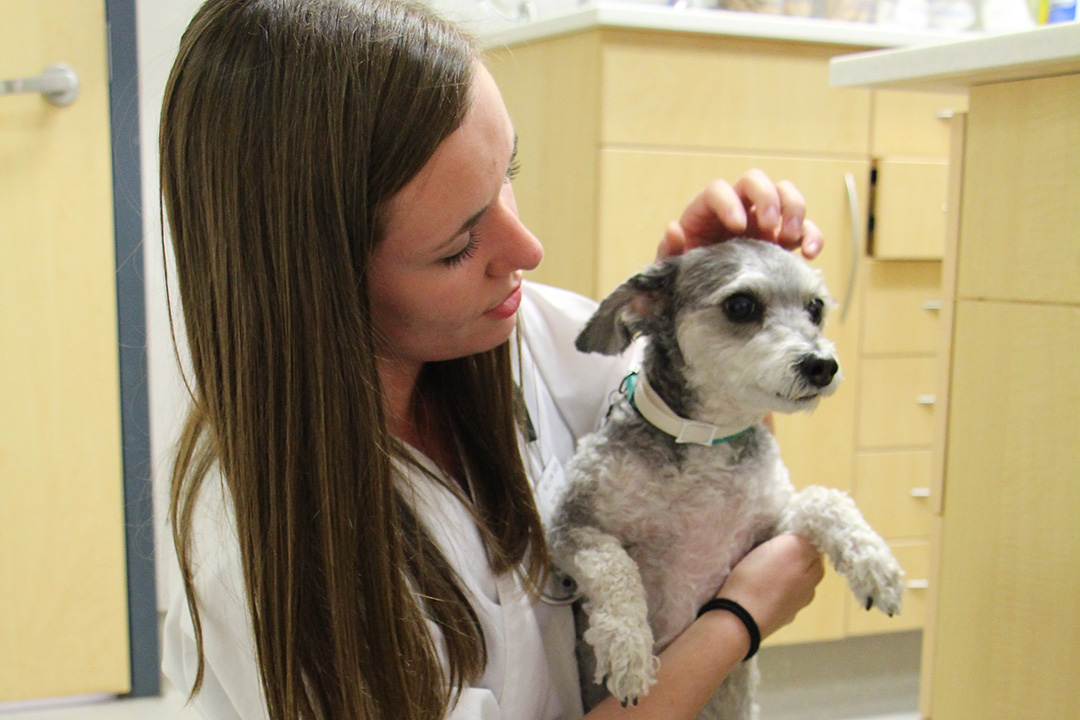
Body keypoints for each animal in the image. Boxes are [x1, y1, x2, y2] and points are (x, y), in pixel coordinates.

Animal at [548, 239, 902, 716]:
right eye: (741, 305)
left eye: (815, 307)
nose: (822, 365)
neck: (707, 438)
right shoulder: (572, 526)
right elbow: (613, 565)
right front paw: (627, 649)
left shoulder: (766, 532)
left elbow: (824, 499)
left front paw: (875, 564)